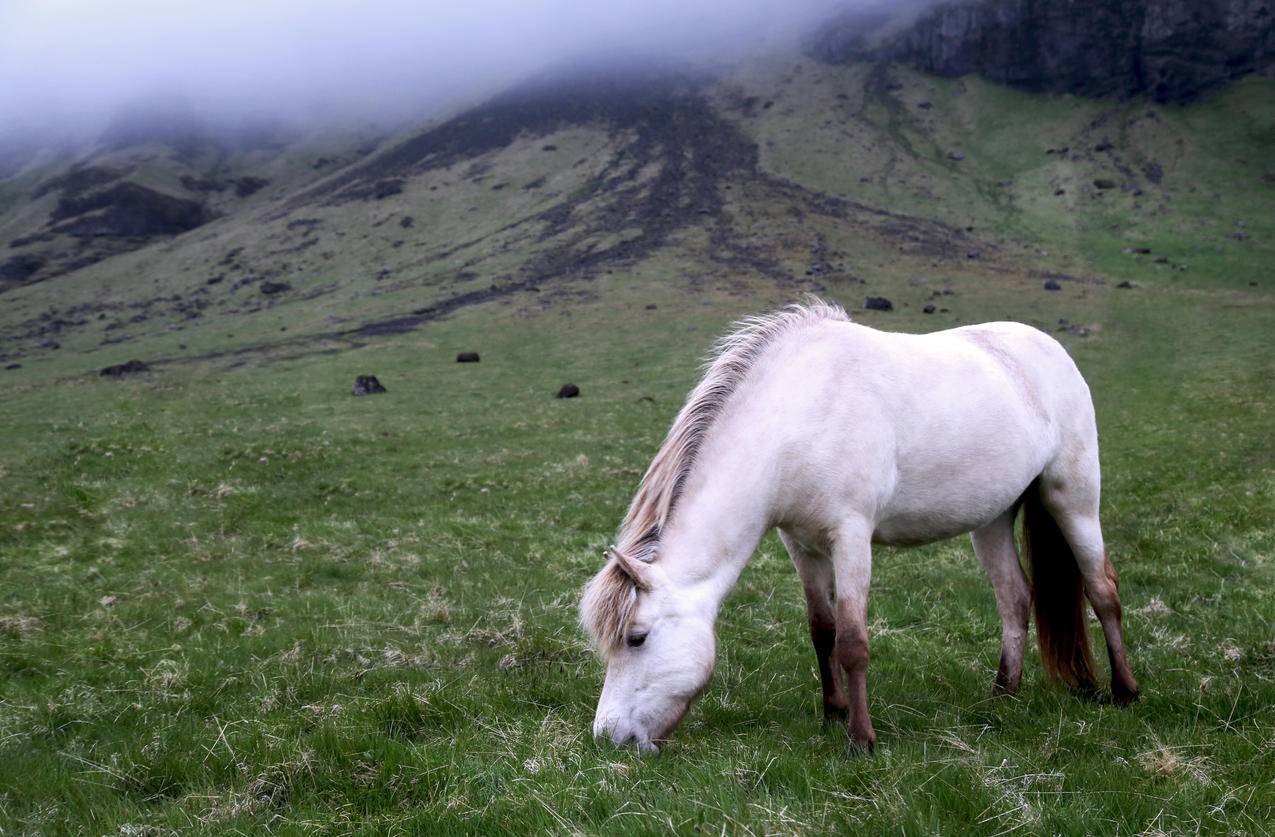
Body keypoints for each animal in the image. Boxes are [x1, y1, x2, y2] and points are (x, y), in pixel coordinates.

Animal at [578, 301, 1137, 750]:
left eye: (636, 638)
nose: (608, 736)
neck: (798, 417)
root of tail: (1050, 348)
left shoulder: (850, 537)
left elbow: (852, 641)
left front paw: (861, 739)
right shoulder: (800, 544)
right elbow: (821, 630)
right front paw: (832, 714)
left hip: (1073, 498)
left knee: (1102, 589)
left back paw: (1125, 691)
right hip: (993, 519)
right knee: (1015, 598)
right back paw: (1003, 694)